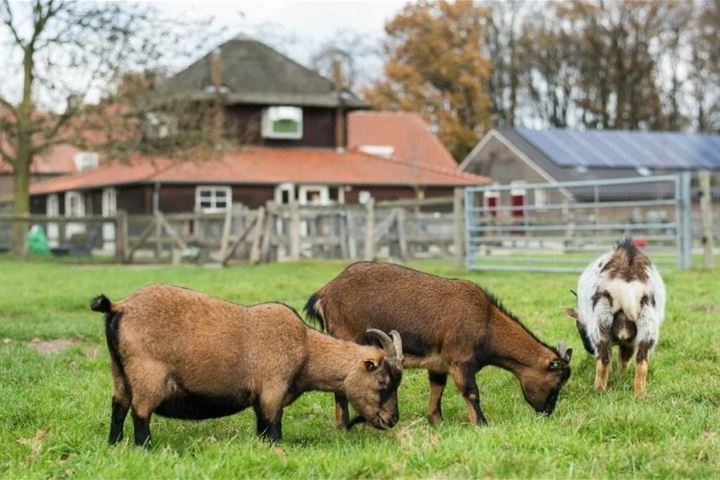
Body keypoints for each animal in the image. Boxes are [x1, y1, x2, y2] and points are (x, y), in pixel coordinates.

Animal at [89, 284, 402, 446]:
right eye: (383, 381)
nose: (391, 420)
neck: (305, 346)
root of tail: (119, 307)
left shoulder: (260, 399)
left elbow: (262, 427)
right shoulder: (273, 390)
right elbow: (273, 426)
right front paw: (279, 449)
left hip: (119, 372)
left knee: (119, 406)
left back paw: (114, 445)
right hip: (148, 374)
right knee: (140, 411)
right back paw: (145, 448)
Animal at [306, 262, 572, 428]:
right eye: (557, 381)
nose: (546, 412)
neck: (486, 322)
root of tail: (323, 295)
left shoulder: (438, 362)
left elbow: (437, 388)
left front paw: (437, 422)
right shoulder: (460, 359)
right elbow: (471, 392)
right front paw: (481, 424)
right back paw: (343, 427)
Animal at [564, 238, 668, 396]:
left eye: (578, 325)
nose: (588, 349)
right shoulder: (628, 342)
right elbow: (624, 360)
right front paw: (621, 377)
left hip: (601, 320)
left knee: (604, 359)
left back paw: (598, 391)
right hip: (647, 322)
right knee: (641, 360)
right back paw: (639, 394)